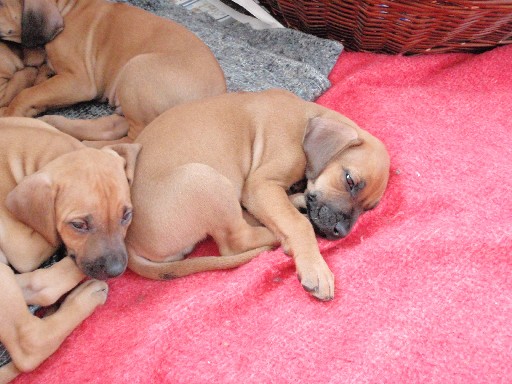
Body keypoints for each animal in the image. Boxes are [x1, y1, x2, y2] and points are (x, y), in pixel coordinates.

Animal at [0, 118, 140, 382]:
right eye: (79, 225)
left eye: (126, 215)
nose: (116, 270)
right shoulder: (24, 248)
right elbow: (53, 237)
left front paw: (116, 132)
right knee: (30, 341)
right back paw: (85, 295)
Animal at [128, 88, 392, 302]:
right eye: (349, 180)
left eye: (367, 209)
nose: (341, 232)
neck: (305, 121)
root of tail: (128, 240)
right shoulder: (260, 185)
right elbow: (298, 225)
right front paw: (316, 268)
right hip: (204, 179)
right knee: (234, 242)